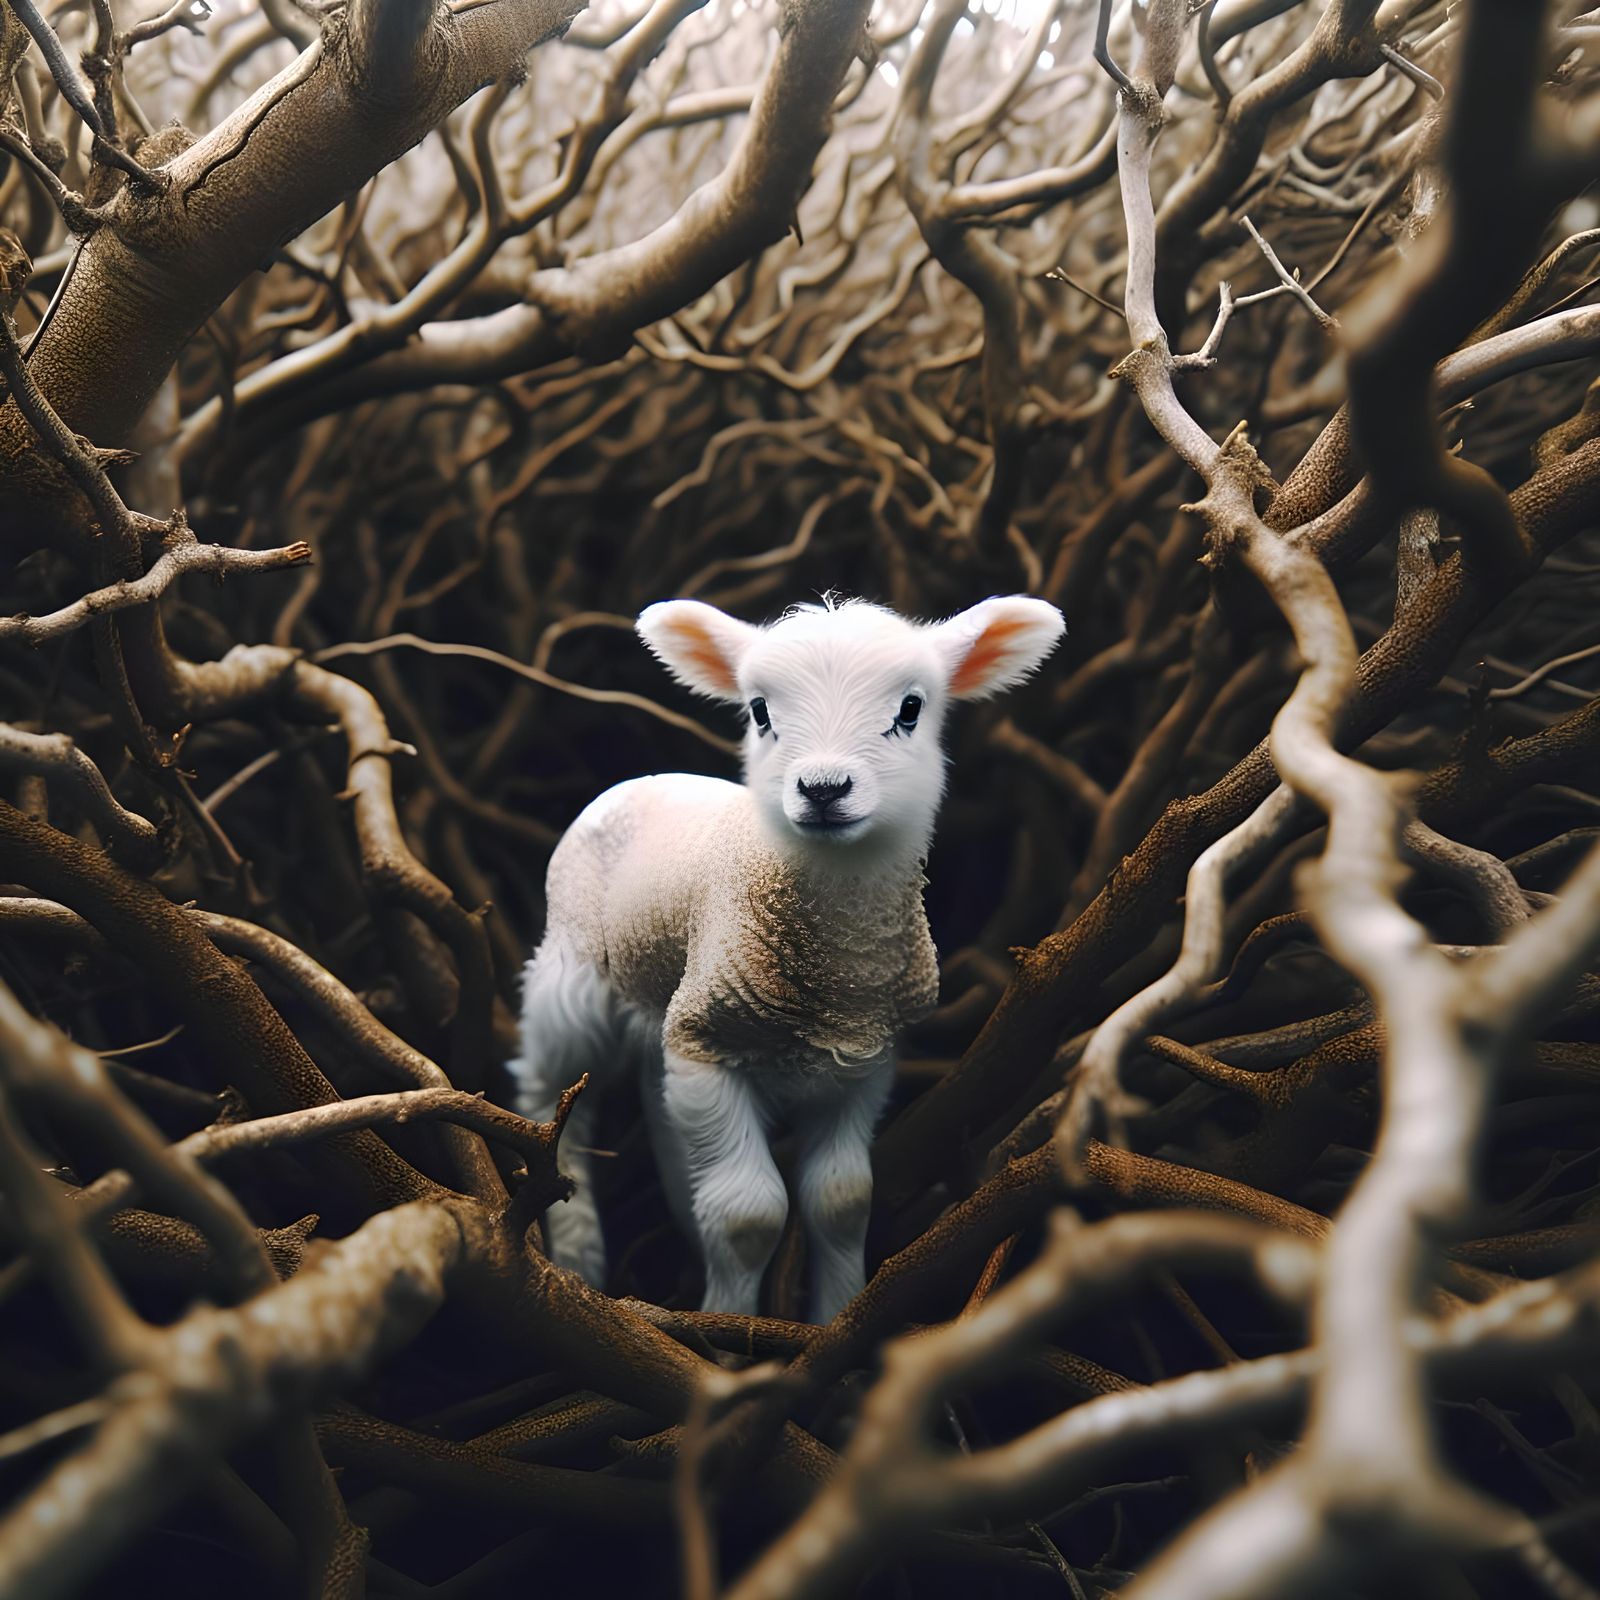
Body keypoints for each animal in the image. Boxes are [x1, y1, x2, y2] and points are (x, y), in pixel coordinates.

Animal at [510, 593, 1065, 1321]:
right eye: (760, 711)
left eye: (911, 708)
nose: (824, 788)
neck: (835, 976)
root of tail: (647, 777)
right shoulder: (709, 1046)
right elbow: (749, 1215)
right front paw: (725, 1333)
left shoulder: (866, 1060)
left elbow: (842, 1202)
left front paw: (833, 1320)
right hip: (574, 973)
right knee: (549, 1084)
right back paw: (577, 1254)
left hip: (669, 1001)